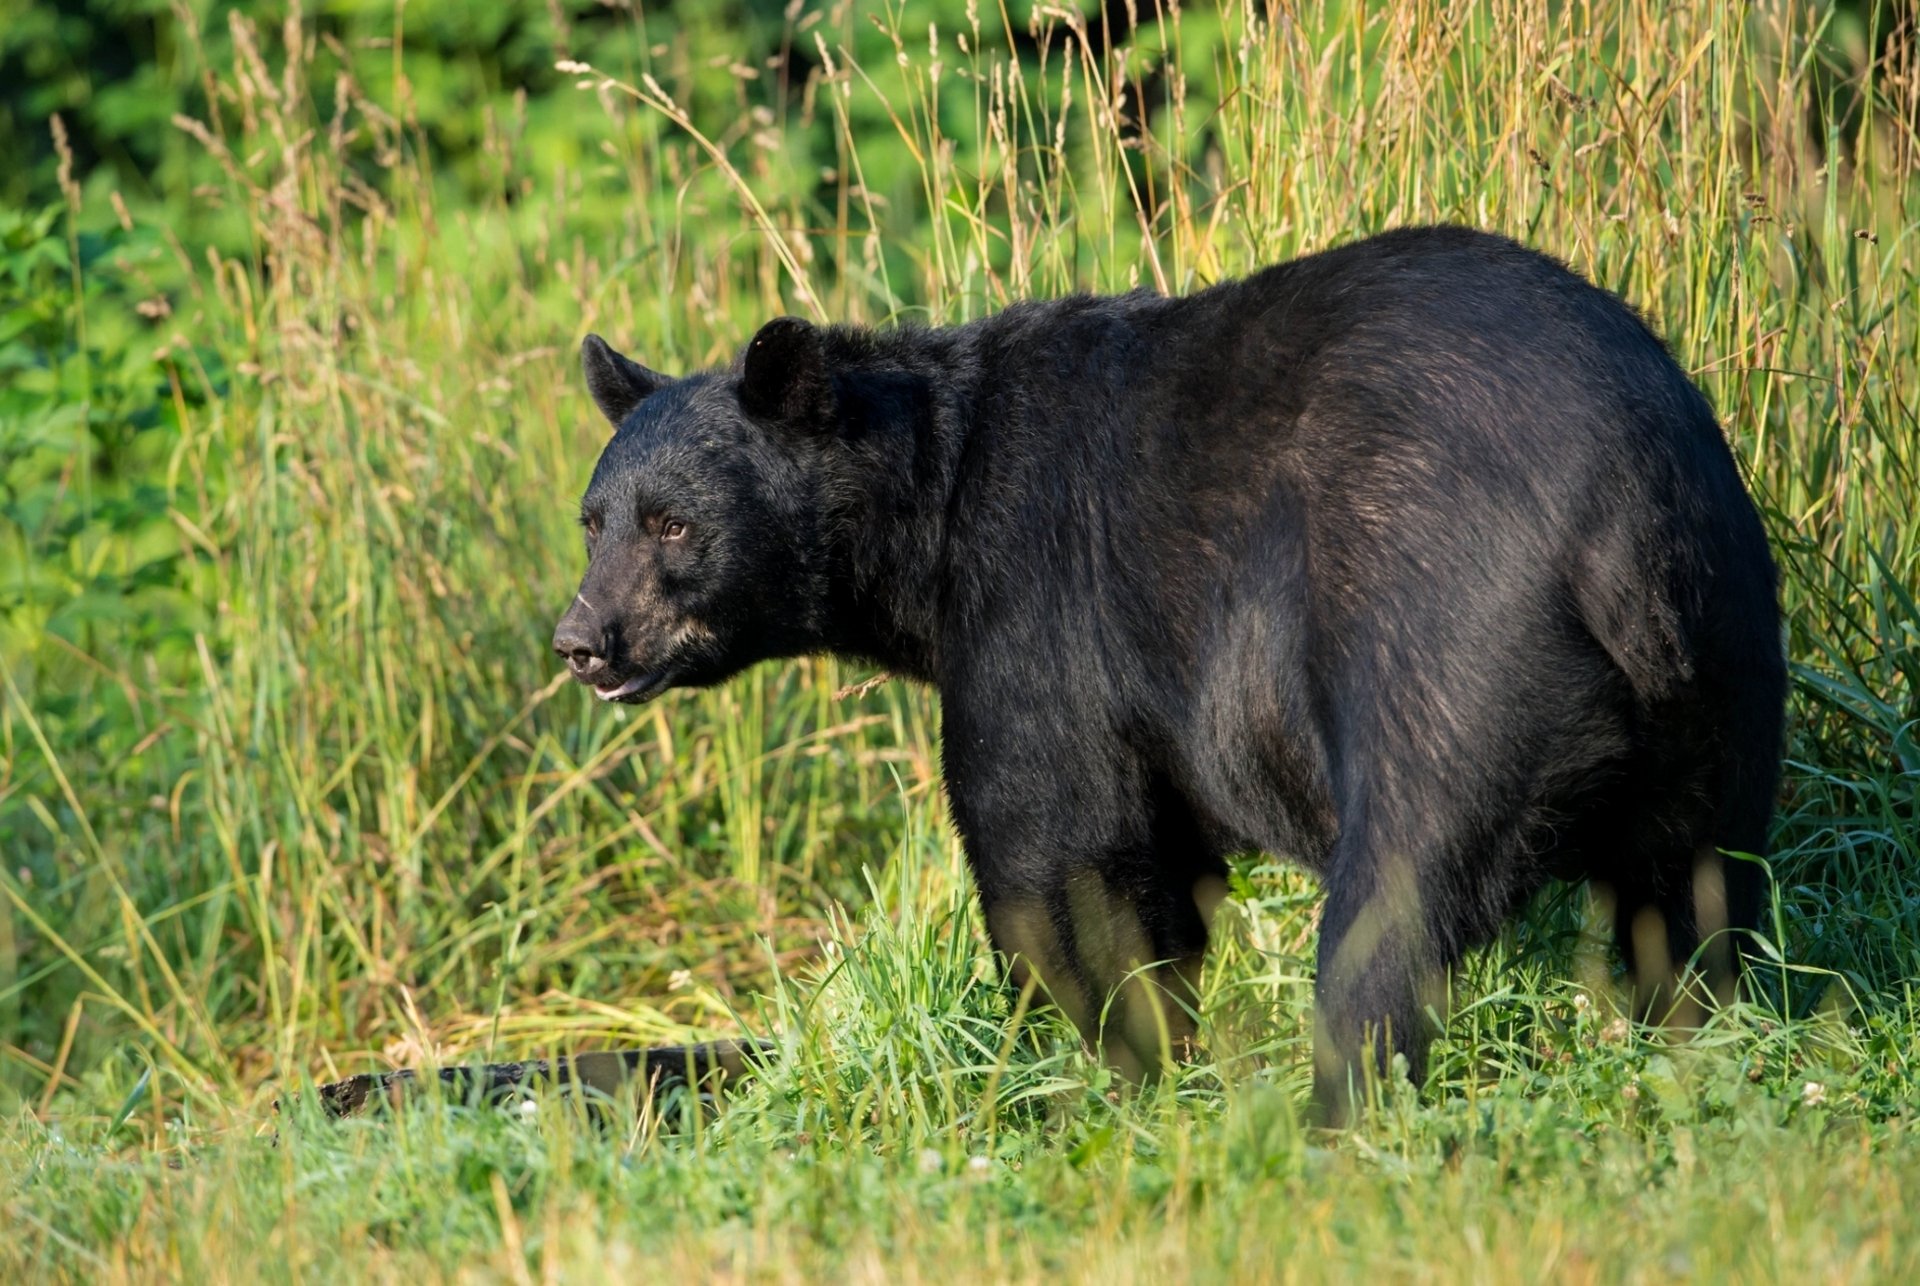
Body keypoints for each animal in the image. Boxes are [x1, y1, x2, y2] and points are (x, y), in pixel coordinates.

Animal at [550, 225, 1786, 1123]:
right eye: (595, 518)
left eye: (672, 523)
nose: (582, 638)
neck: (930, 515)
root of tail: (1617, 523)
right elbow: (1158, 867)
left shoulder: (1040, 604)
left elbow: (1058, 851)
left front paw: (1093, 1065)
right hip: (1723, 670)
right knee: (1695, 892)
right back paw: (1697, 1039)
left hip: (1442, 647)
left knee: (1394, 900)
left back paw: (1336, 1112)